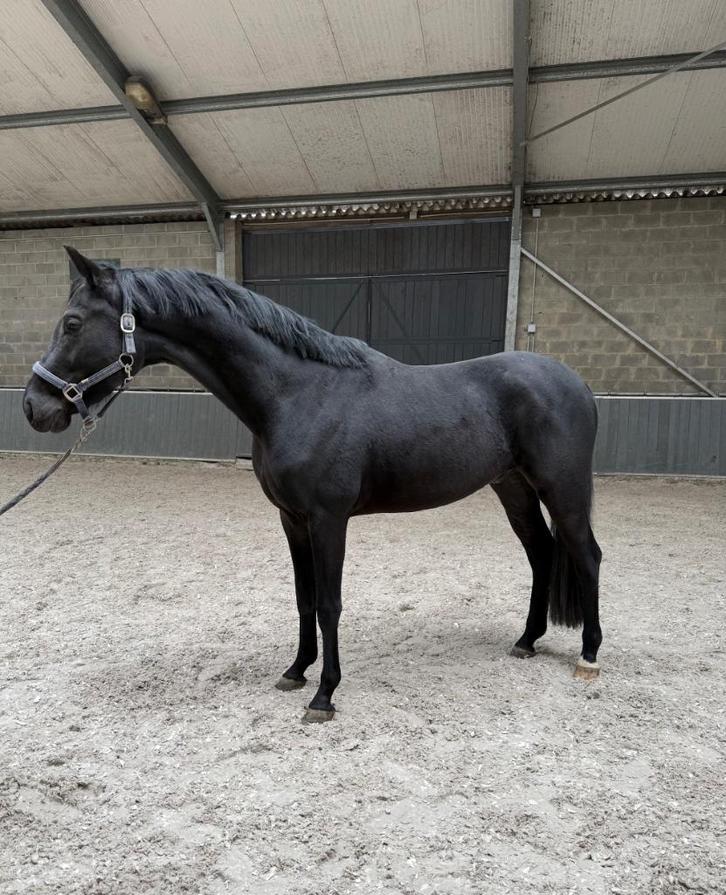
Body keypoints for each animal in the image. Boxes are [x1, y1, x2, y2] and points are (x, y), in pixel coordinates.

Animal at [23, 247, 603, 722]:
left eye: (72, 324)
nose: (34, 407)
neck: (297, 394)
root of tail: (575, 382)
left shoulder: (329, 519)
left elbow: (329, 603)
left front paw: (324, 695)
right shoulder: (292, 519)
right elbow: (303, 599)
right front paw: (295, 672)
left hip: (563, 489)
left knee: (586, 555)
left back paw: (590, 655)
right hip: (513, 488)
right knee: (542, 553)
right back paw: (526, 641)